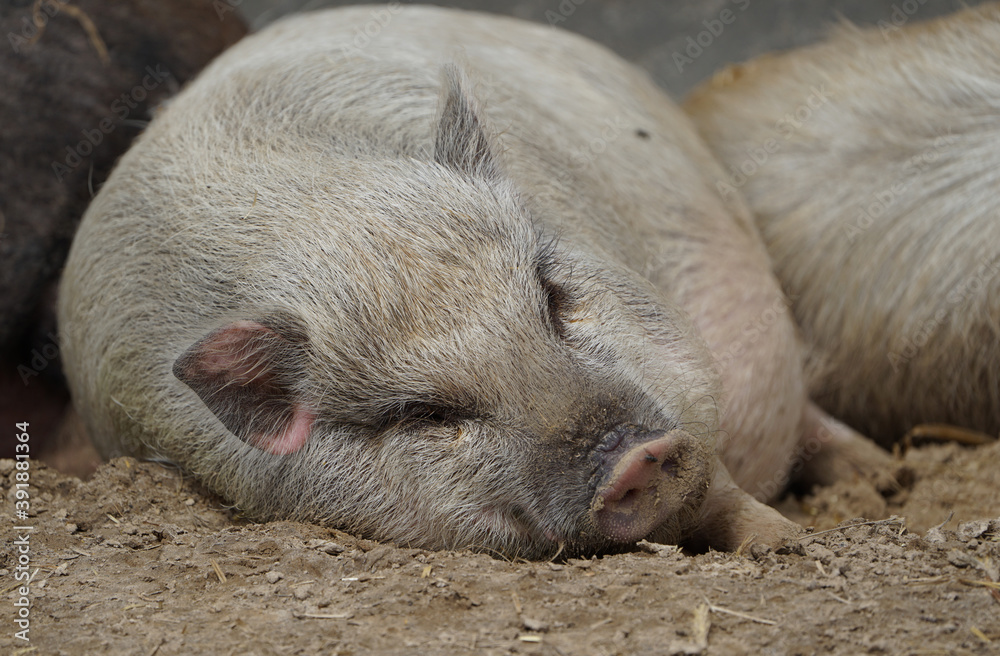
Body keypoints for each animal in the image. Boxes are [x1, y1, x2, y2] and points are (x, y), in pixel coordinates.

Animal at [56, 5, 868, 560]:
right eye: (427, 413)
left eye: (553, 299)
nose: (636, 456)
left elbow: (726, 489)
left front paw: (785, 542)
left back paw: (878, 474)